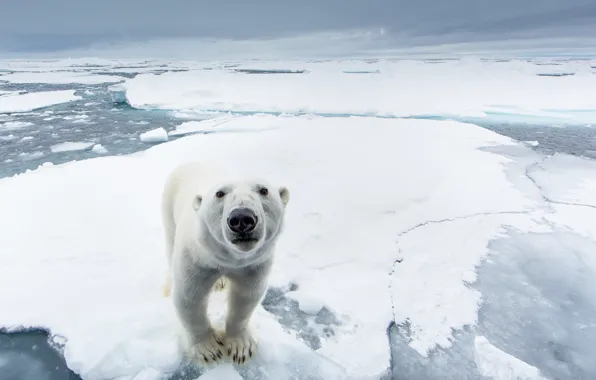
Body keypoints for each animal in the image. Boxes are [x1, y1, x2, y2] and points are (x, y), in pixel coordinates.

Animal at [158, 162, 288, 366]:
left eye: (264, 190)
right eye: (220, 193)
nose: (242, 219)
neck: (228, 258)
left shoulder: (253, 264)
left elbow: (245, 296)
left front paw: (241, 347)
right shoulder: (196, 259)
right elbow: (189, 297)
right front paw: (208, 349)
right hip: (169, 208)